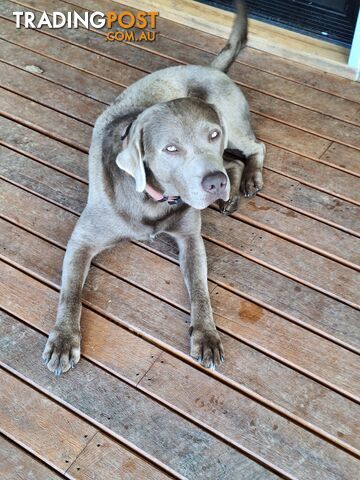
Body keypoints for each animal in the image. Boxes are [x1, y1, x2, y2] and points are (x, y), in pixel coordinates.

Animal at [43, 0, 266, 376]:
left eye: (211, 134)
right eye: (171, 149)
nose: (214, 183)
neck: (153, 200)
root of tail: (210, 68)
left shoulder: (190, 239)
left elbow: (201, 290)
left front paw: (206, 335)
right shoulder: (82, 241)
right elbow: (70, 291)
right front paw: (62, 340)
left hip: (233, 128)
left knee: (254, 149)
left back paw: (247, 181)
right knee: (234, 161)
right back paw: (233, 192)